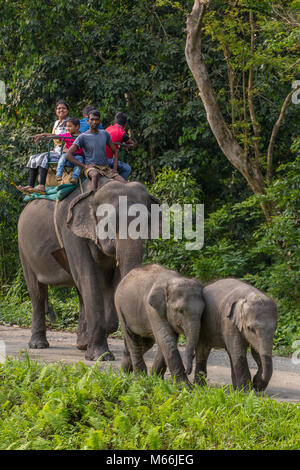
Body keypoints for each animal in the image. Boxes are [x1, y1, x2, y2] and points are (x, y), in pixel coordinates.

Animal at [17, 179, 158, 360]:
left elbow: (113, 283)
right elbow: (89, 278)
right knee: (37, 291)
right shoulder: (71, 232)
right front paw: (100, 357)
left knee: (78, 291)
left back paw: (81, 344)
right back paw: (38, 345)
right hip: (24, 249)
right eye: (110, 222)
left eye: (148, 221)